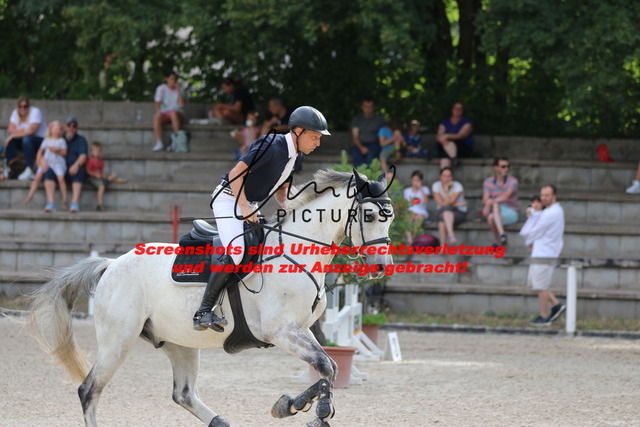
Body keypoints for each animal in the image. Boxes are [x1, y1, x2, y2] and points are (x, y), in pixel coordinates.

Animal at [26, 169, 395, 427]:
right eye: (370, 216)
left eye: (388, 217)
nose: (381, 266)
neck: (296, 251)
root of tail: (111, 265)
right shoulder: (280, 332)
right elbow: (326, 366)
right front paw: (314, 411)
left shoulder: (301, 330)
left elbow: (327, 366)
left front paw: (290, 405)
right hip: (118, 341)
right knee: (89, 390)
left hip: (179, 343)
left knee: (184, 394)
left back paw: (221, 421)